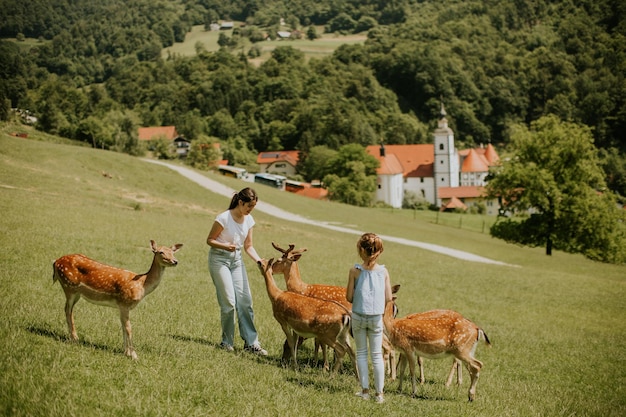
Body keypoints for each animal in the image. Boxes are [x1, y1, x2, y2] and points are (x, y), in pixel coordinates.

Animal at [52, 239, 182, 360]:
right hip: (69, 286)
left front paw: (126, 352)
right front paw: (134, 355)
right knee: (68, 310)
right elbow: (129, 328)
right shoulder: (124, 302)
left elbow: (123, 327)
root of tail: (55, 262)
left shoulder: (122, 306)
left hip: (76, 292)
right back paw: (74, 338)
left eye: (173, 252)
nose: (175, 261)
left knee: (68, 309)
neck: (142, 285)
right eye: (161, 252)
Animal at [268, 240, 394, 376]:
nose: (271, 270)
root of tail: (390, 305)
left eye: (279, 260)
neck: (302, 289)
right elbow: (318, 342)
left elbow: (320, 343)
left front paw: (324, 366)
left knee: (387, 345)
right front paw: (319, 363)